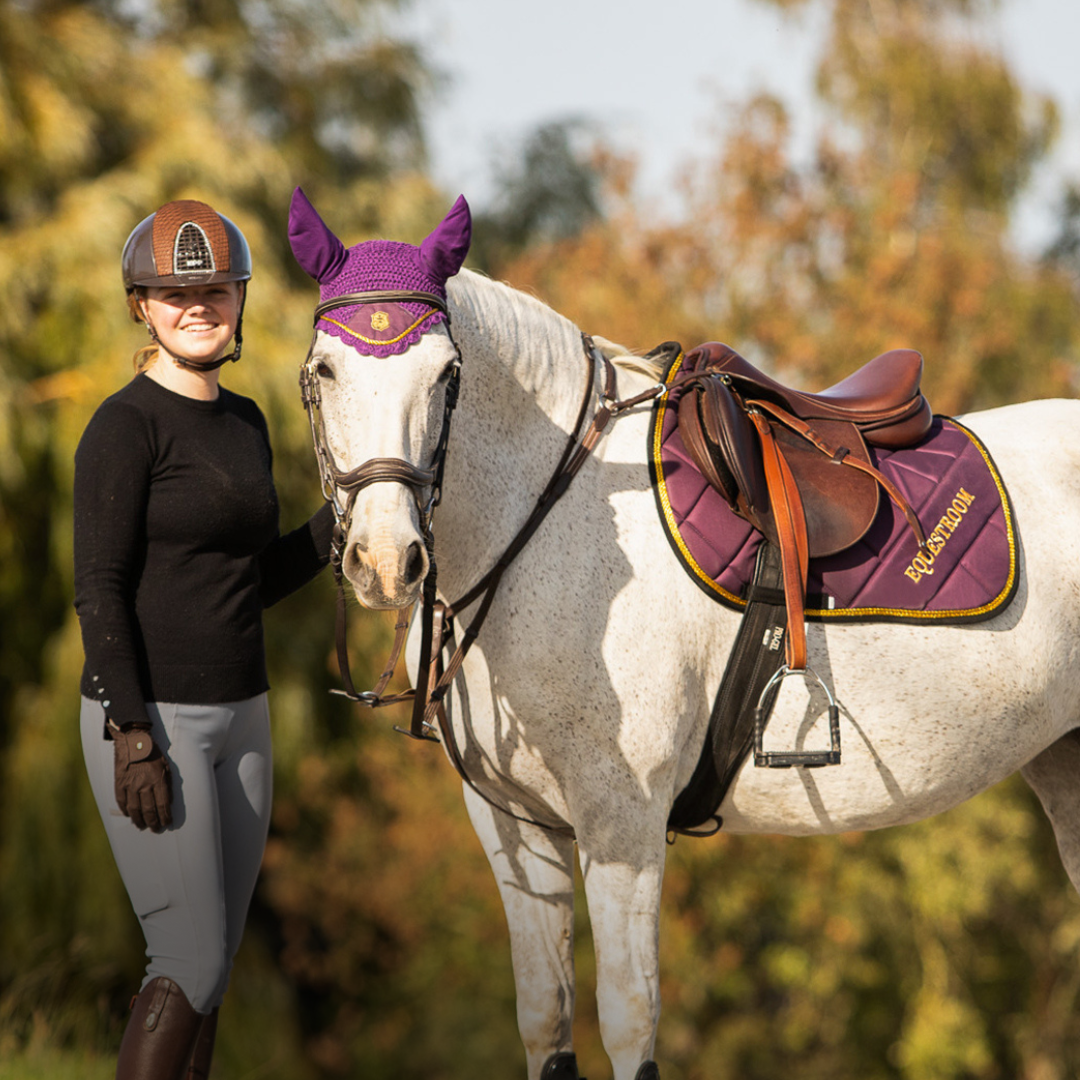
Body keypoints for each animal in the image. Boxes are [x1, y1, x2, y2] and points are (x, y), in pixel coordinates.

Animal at [288, 188, 1080, 1080]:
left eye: (448, 374)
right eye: (324, 370)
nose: (386, 560)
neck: (546, 513)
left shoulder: (621, 826)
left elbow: (630, 1025)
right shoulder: (515, 831)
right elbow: (545, 1022)